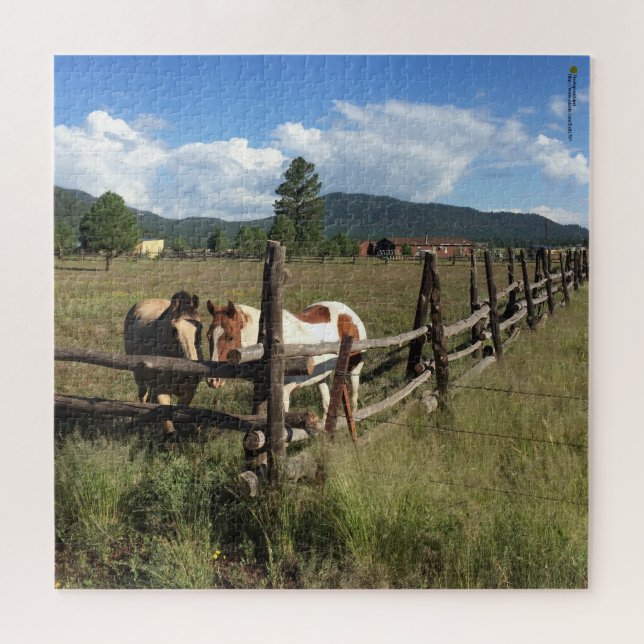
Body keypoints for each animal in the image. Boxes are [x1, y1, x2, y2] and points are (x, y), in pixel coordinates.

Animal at [124, 291, 203, 444]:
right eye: (174, 330)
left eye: (200, 328)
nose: (193, 372)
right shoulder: (163, 391)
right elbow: (169, 425)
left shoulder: (188, 393)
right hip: (139, 376)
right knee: (143, 396)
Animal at [205, 300, 366, 420]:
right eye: (208, 336)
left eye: (230, 337)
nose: (213, 380)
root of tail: (348, 313)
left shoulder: (284, 392)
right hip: (321, 376)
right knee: (327, 403)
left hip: (354, 369)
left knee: (354, 397)